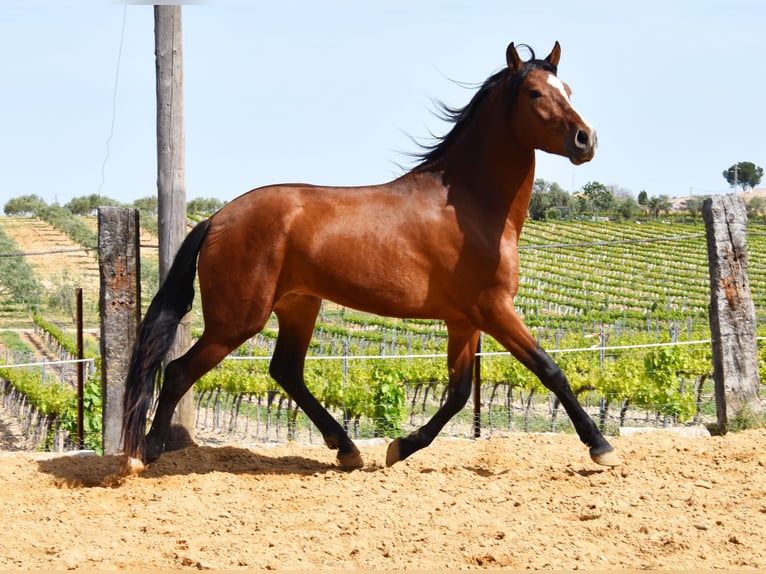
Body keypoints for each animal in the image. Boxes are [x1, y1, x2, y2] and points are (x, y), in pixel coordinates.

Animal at [121, 42, 624, 476]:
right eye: (535, 92)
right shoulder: (495, 310)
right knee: (179, 370)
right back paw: (145, 454)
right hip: (237, 320)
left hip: (299, 305)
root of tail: (216, 219)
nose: (586, 140)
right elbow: (551, 370)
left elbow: (459, 392)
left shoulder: (465, 320)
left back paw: (346, 449)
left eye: (568, 90)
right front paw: (601, 447)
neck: (471, 206)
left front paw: (400, 447)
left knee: (285, 370)